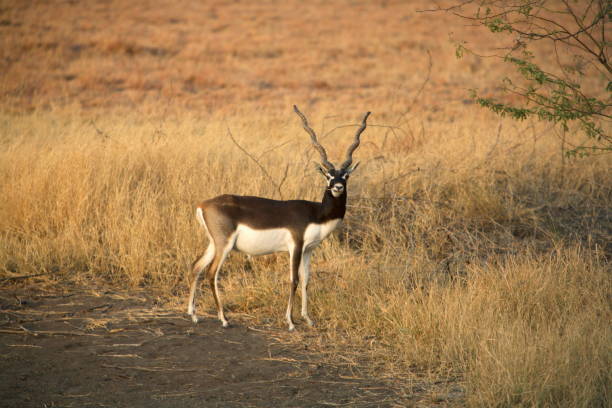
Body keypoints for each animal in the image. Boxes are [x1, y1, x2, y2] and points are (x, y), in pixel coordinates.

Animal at [186, 106, 370, 332]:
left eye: (346, 176)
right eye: (327, 176)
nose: (337, 187)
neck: (316, 213)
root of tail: (203, 205)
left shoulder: (309, 250)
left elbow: (306, 280)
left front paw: (308, 319)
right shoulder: (296, 246)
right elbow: (293, 280)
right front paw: (290, 322)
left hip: (214, 243)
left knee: (196, 267)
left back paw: (194, 315)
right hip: (224, 245)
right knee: (211, 273)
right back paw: (224, 319)